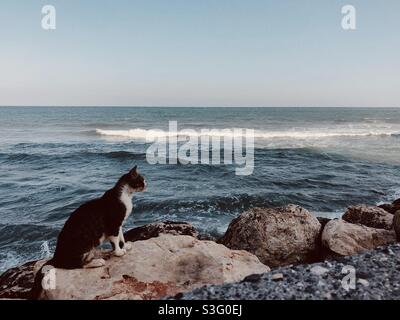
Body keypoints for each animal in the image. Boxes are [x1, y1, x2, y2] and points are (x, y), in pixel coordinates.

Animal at [30, 166, 147, 298]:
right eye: (141, 179)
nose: (147, 183)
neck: (126, 196)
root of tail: (56, 257)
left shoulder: (119, 224)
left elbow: (121, 237)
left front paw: (125, 246)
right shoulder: (113, 224)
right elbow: (115, 239)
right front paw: (118, 252)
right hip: (84, 242)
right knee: (76, 264)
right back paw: (97, 261)